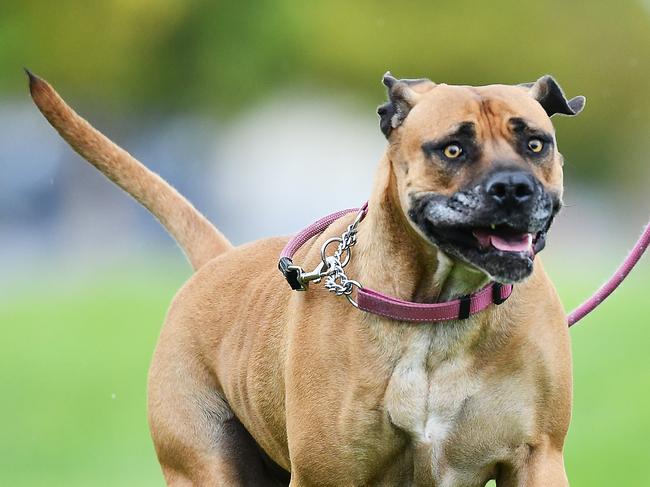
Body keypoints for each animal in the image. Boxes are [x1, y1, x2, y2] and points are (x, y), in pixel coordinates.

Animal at [29, 69, 584, 487]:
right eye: (452, 150)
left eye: (536, 144)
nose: (513, 188)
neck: (436, 309)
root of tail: (216, 261)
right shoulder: (327, 473)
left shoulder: (537, 459)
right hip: (204, 462)